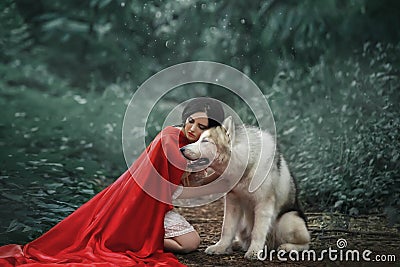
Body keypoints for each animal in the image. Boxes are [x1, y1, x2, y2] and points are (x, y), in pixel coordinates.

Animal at [180, 117, 310, 260]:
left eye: (205, 141)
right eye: (199, 139)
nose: (181, 149)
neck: (247, 164)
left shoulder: (264, 204)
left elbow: (258, 232)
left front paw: (254, 252)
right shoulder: (232, 202)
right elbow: (226, 229)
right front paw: (220, 247)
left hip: (288, 221)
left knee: (306, 244)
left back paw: (287, 247)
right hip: (242, 223)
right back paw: (236, 245)